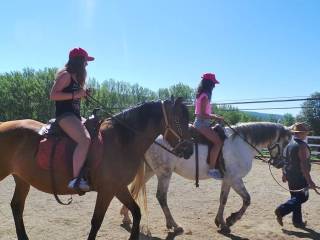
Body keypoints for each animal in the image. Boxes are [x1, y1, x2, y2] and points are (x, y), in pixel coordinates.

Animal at [0, 98, 192, 240]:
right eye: (178, 120)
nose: (189, 149)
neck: (121, 141)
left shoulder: (119, 188)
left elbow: (136, 213)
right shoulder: (107, 190)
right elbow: (96, 222)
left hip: (22, 179)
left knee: (16, 207)